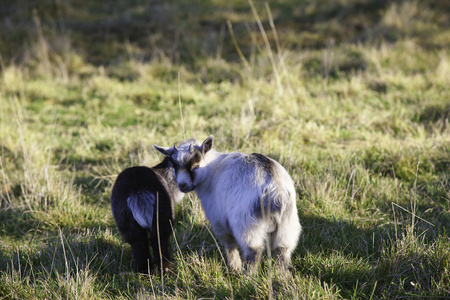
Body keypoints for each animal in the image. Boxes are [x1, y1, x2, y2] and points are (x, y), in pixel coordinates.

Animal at [155, 135, 302, 274]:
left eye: (195, 166)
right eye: (174, 166)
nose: (182, 185)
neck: (212, 171)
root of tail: (276, 193)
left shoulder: (219, 220)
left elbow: (229, 244)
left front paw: (234, 267)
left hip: (247, 224)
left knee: (254, 250)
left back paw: (248, 277)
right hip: (287, 224)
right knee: (282, 250)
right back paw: (283, 278)